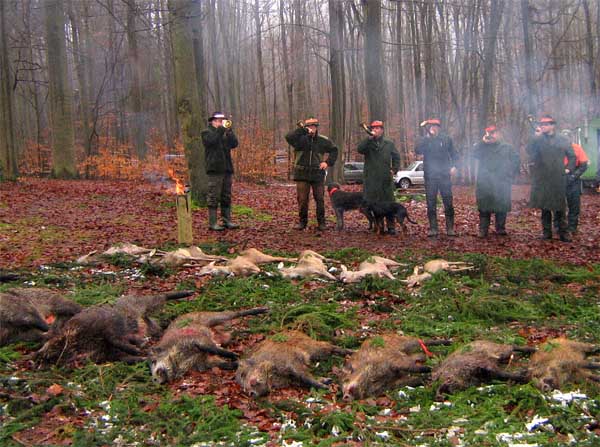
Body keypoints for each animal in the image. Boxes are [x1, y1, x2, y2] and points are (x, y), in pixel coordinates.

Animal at [35, 290, 193, 367]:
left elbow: (115, 338)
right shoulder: (110, 353)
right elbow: (127, 356)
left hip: (140, 303)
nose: (38, 356)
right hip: (149, 322)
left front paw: (137, 347)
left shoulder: (106, 326)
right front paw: (141, 353)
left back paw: (186, 293)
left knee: (157, 298)